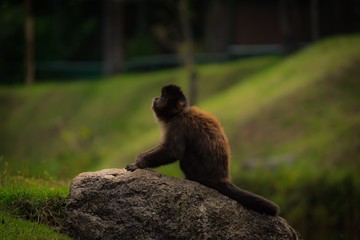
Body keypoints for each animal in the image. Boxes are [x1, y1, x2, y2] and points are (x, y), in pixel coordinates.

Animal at [126, 84, 282, 216]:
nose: (156, 98)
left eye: (163, 97)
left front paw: (139, 163)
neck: (179, 113)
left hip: (200, 170)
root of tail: (221, 177)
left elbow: (173, 151)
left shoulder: (179, 123)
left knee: (186, 156)